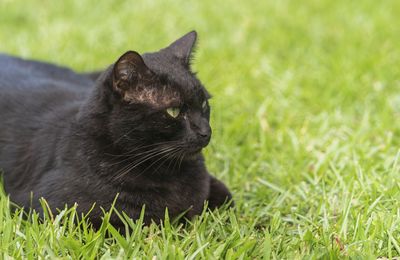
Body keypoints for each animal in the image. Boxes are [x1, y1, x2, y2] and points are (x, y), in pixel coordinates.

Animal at [0, 31, 233, 228]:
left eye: (203, 104)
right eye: (174, 111)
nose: (205, 131)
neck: (169, 174)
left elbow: (227, 200)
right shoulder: (53, 211)